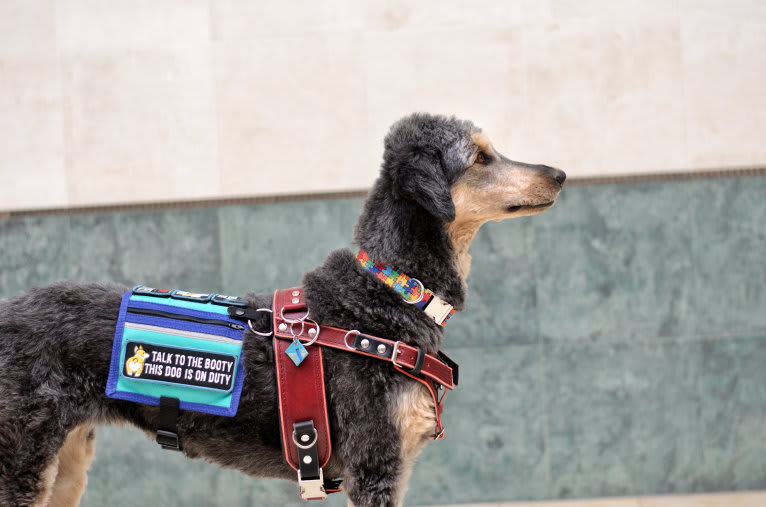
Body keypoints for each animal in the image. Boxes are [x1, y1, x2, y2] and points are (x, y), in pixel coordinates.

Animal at [0, 113, 564, 506]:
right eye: (481, 158)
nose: (560, 173)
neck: (385, 295)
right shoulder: (375, 464)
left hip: (68, 464)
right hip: (23, 457)